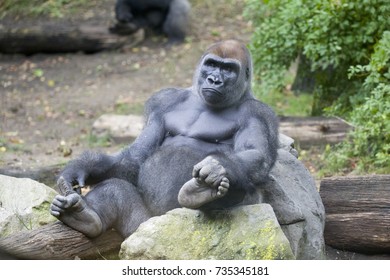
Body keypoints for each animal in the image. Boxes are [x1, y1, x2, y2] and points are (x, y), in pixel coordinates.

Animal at [49, 40, 280, 238]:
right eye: (212, 64)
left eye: (229, 69)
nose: (214, 80)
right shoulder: (162, 101)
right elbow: (135, 158)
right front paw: (81, 168)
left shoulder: (258, 114)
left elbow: (256, 156)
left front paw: (217, 165)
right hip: (141, 225)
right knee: (115, 189)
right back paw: (84, 218)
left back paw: (199, 193)